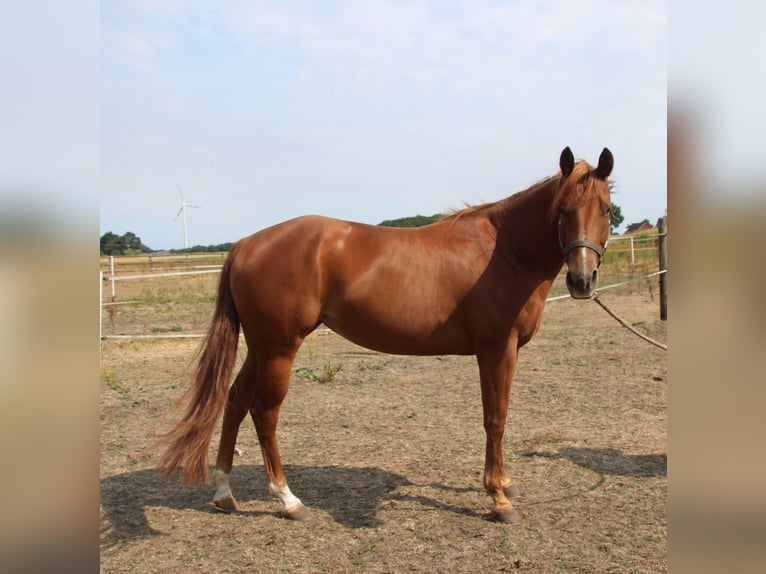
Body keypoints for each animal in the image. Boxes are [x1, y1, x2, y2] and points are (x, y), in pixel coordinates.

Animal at [157, 146, 614, 524]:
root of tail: (245, 244)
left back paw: (224, 493)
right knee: (264, 413)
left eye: (607, 210)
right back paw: (288, 501)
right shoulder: (497, 350)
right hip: (279, 350)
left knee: (235, 401)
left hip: (260, 348)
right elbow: (495, 418)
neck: (504, 252)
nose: (582, 279)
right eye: (563, 209)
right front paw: (498, 499)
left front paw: (503, 484)